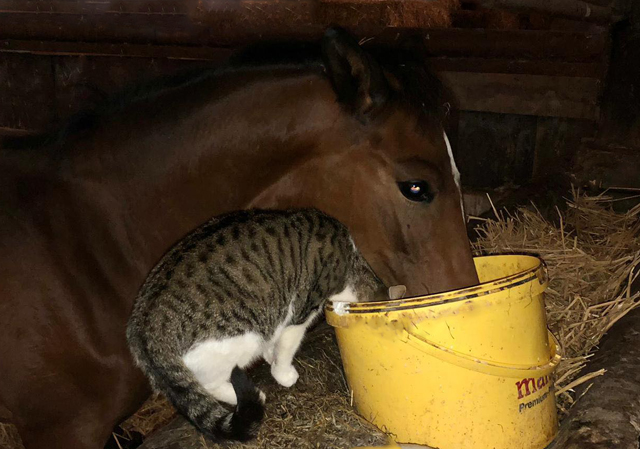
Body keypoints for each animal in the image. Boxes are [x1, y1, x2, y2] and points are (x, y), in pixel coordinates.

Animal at [122, 207, 388, 440]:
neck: (350, 262)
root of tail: (144, 333)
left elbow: (274, 344)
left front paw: (271, 356)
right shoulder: (300, 312)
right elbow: (286, 348)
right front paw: (283, 374)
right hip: (241, 337)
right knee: (210, 384)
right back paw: (252, 394)